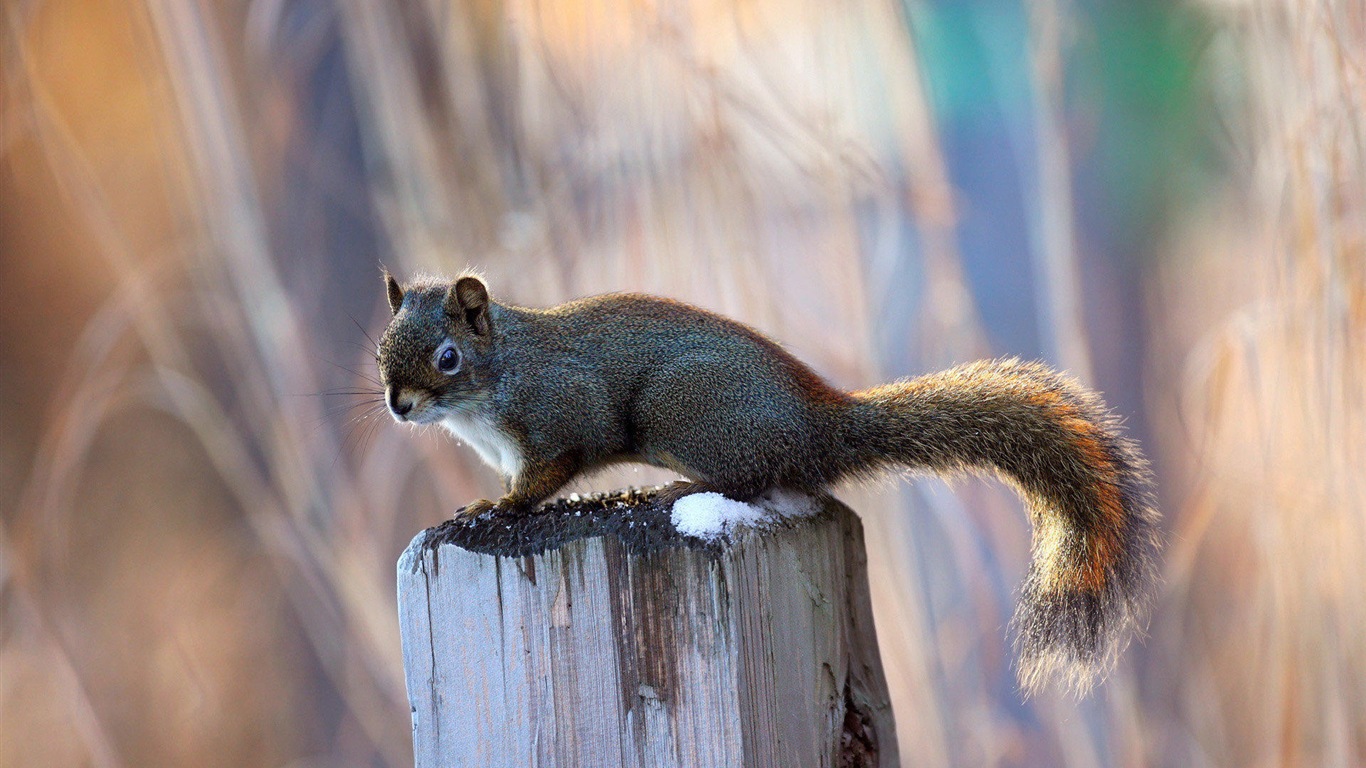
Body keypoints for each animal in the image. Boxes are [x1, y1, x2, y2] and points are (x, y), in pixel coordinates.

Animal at [377, 270, 1163, 694]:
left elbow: (547, 474)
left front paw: (494, 508)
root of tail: (819, 424)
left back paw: (678, 494)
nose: (397, 405)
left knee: (754, 478)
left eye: (447, 357)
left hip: (685, 411)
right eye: (382, 349)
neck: (495, 380)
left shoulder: (562, 416)